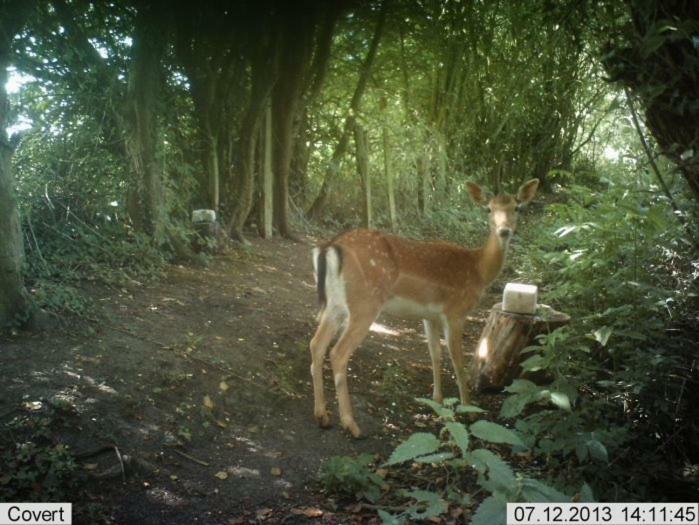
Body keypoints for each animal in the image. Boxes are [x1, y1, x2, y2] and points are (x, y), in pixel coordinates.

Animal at [308, 178, 540, 436]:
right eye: (488, 209)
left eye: (517, 208)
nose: (504, 230)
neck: (478, 270)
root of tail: (329, 247)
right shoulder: (455, 311)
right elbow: (458, 360)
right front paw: (468, 410)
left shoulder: (430, 315)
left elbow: (435, 354)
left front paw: (437, 401)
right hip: (365, 303)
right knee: (338, 352)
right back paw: (351, 424)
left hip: (335, 305)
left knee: (316, 344)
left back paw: (322, 415)